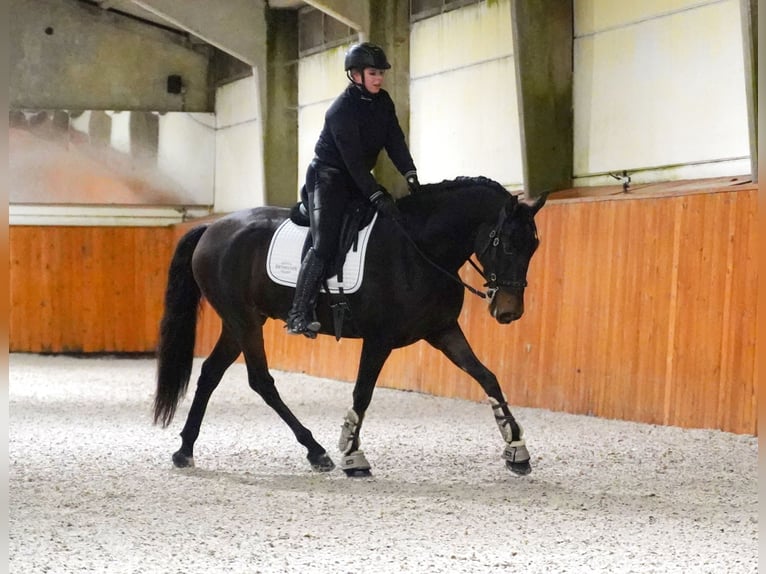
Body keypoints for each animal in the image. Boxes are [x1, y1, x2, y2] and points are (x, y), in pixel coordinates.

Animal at [154, 178, 544, 480]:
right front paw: (353, 456)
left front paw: (516, 448)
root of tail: (212, 228)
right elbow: (362, 393)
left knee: (210, 373)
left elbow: (487, 376)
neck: (419, 250)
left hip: (240, 323)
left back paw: (185, 449)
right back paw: (316, 451)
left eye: (534, 245)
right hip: (243, 320)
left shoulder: (443, 330)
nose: (509, 311)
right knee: (260, 381)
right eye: (507, 243)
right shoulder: (379, 338)